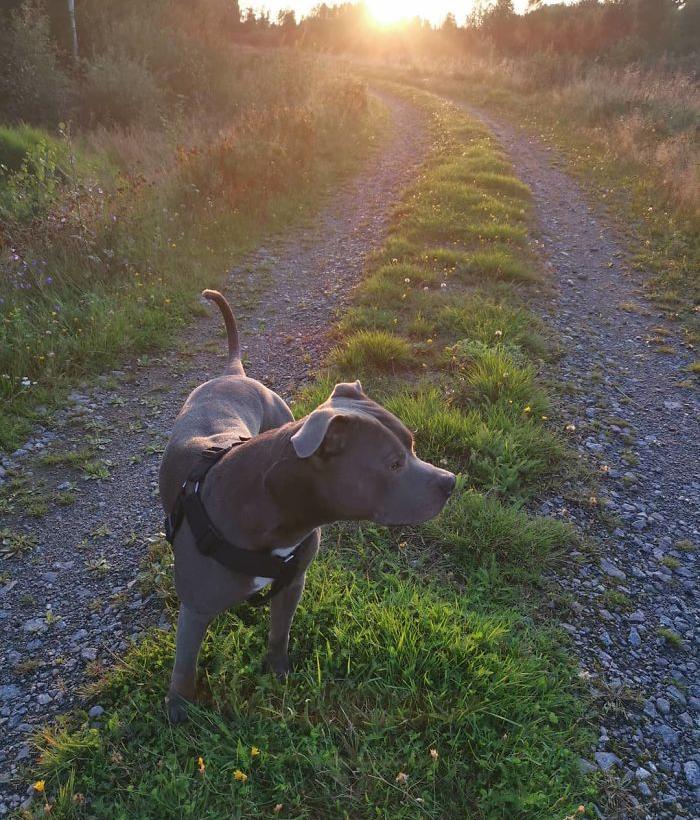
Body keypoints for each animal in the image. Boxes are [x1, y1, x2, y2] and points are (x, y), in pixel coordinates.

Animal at [158, 290, 454, 724]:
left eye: (411, 446)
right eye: (394, 464)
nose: (451, 482)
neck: (272, 502)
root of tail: (234, 372)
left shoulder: (293, 582)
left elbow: (279, 632)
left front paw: (278, 671)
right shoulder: (195, 609)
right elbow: (185, 665)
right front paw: (179, 709)